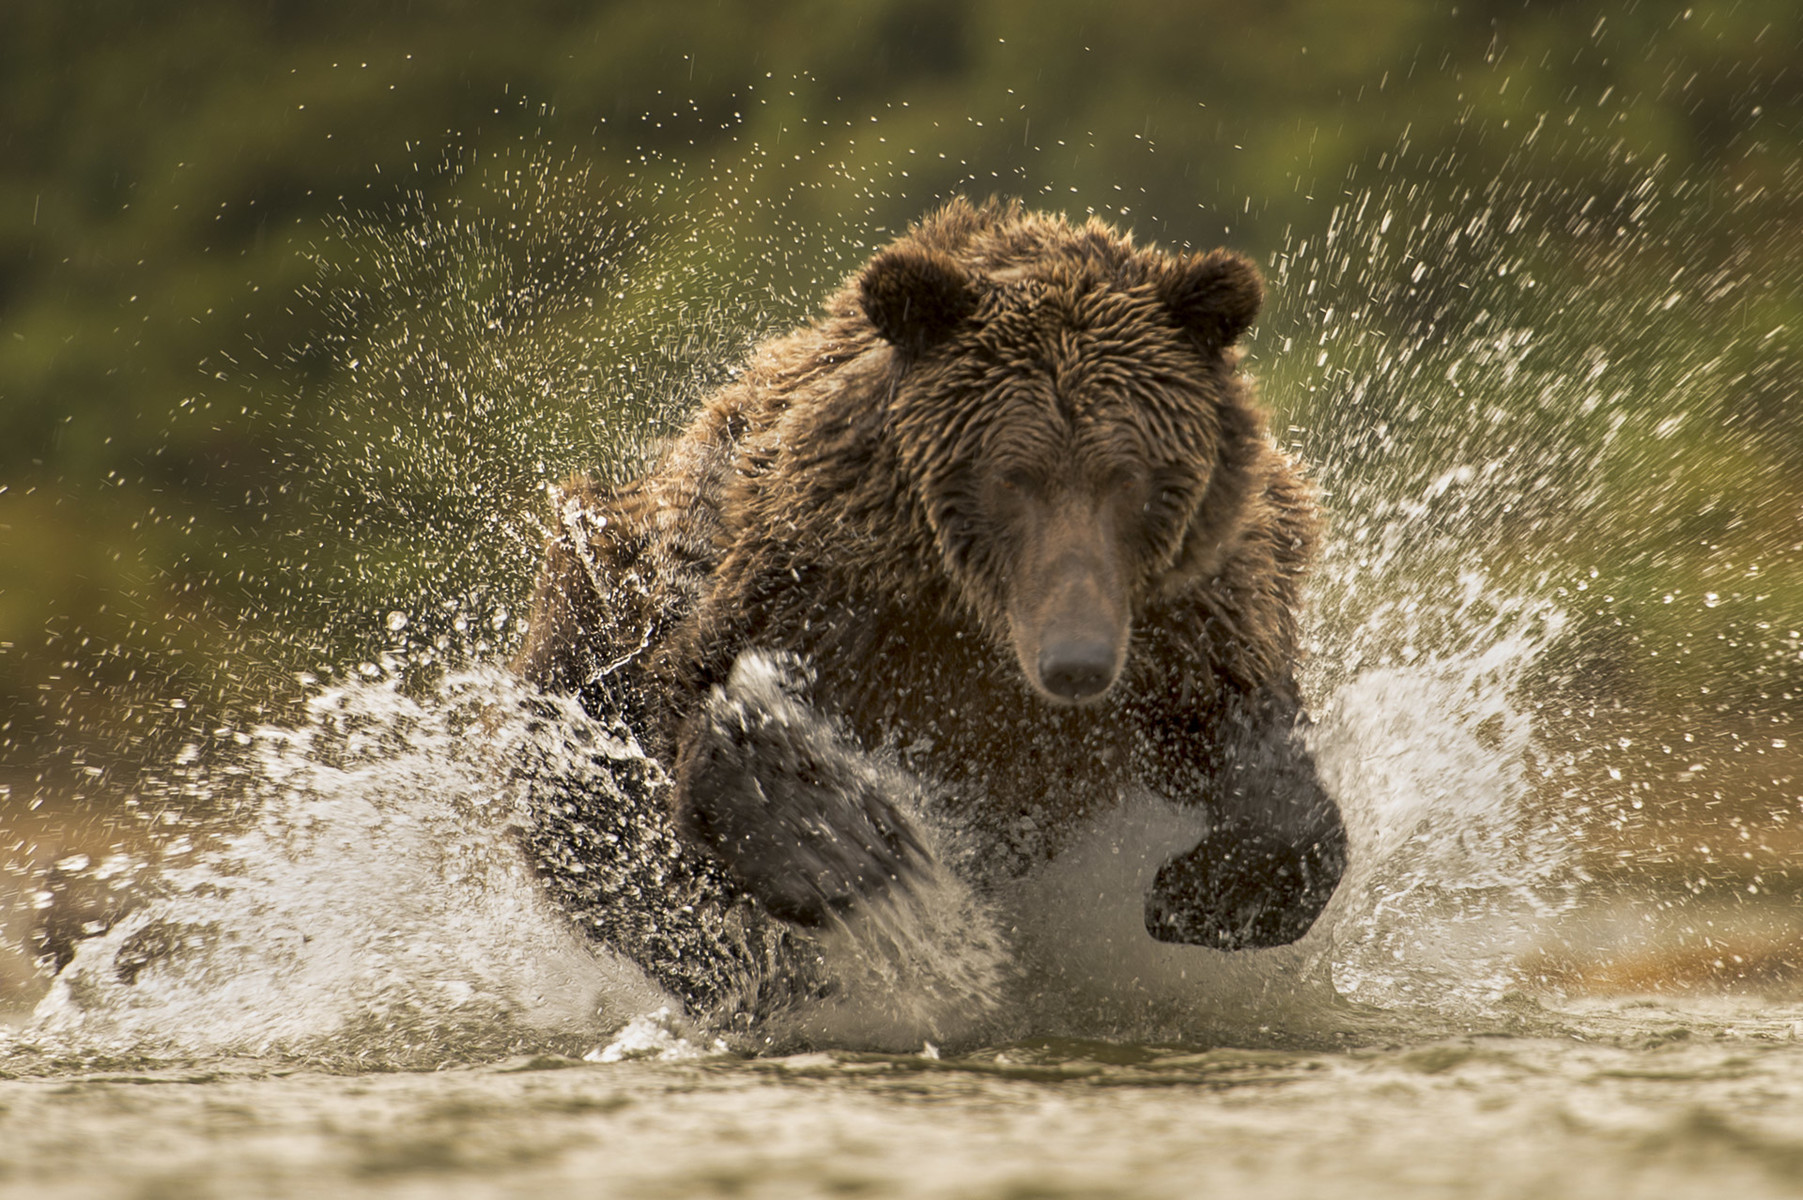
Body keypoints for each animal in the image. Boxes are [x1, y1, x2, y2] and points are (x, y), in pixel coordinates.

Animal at [515, 196, 1348, 1016]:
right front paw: (845, 846)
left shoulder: (1201, 620)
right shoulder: (821, 595)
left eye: (1131, 474)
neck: (979, 621)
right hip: (592, 599)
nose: (1075, 662)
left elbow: (1260, 763)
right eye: (1011, 475)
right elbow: (697, 720)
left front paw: (1200, 892)